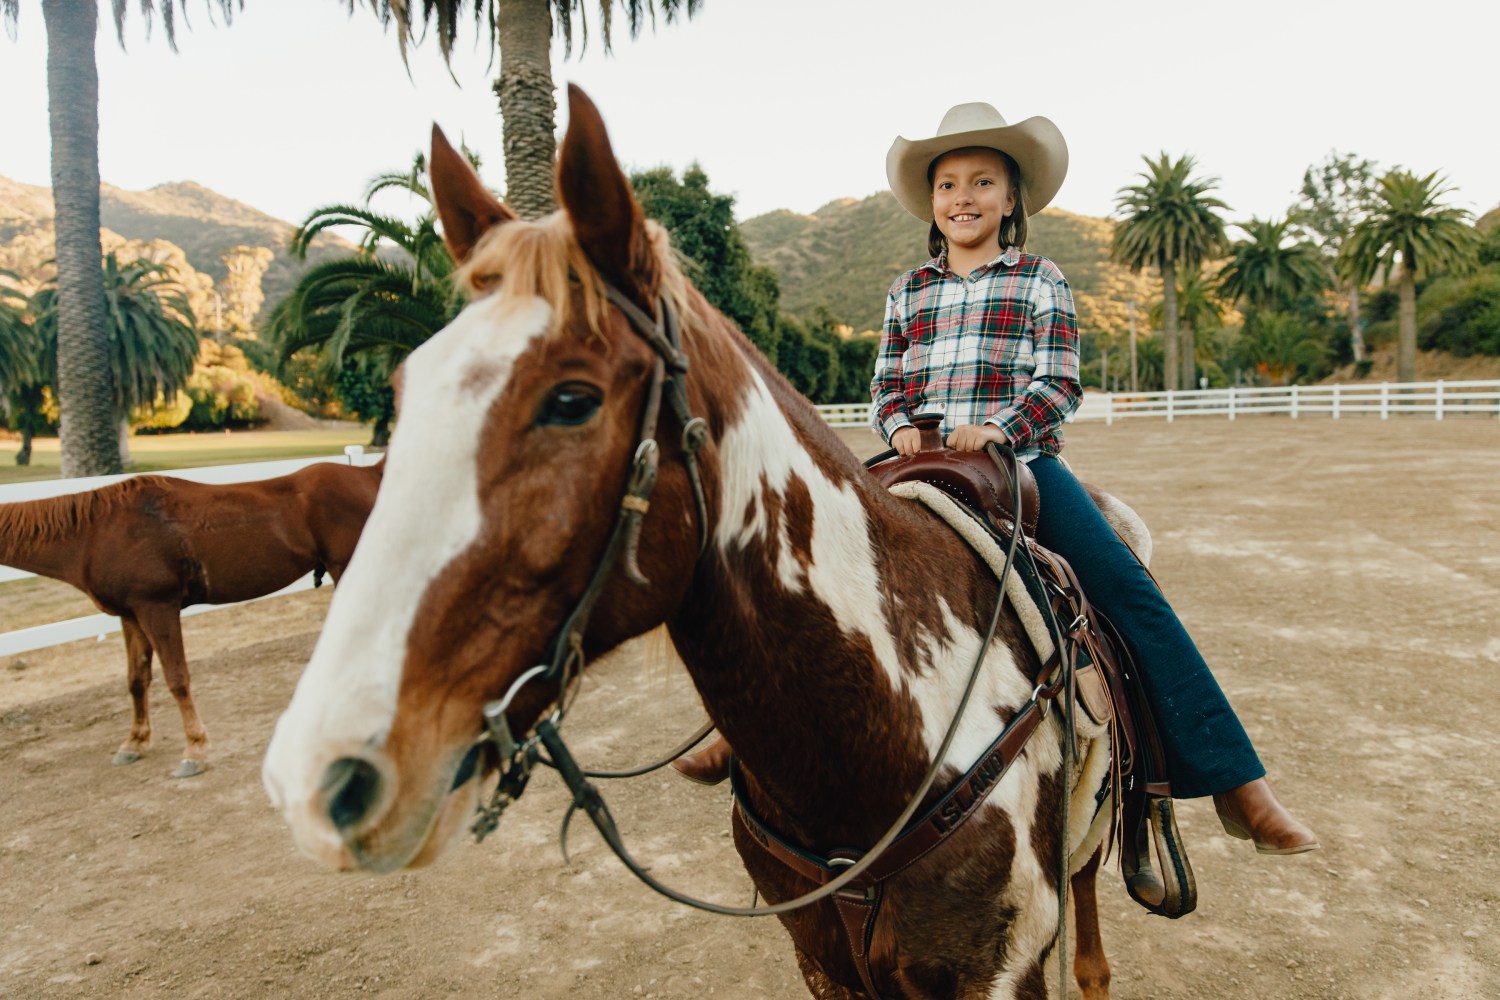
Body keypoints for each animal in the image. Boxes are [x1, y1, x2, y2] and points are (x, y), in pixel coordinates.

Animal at [0, 460, 382, 777]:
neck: (98, 532)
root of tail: (370, 473)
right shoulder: (132, 616)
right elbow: (136, 679)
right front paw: (134, 742)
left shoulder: (158, 608)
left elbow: (176, 679)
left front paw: (194, 750)